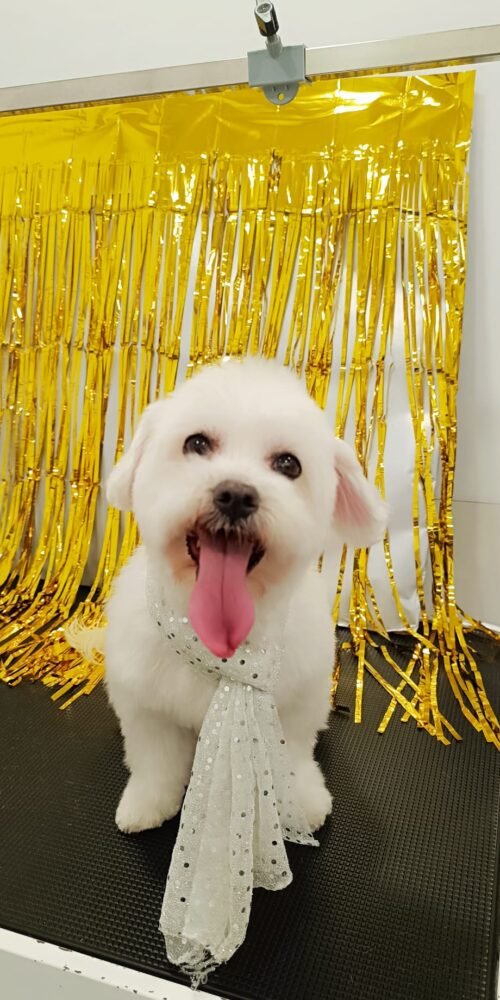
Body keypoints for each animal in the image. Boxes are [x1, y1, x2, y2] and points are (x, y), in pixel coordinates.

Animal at [105, 360, 386, 836]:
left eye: (289, 464)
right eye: (197, 443)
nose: (236, 494)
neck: (218, 645)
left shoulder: (297, 702)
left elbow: (293, 755)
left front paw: (301, 801)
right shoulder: (147, 708)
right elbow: (155, 762)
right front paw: (147, 803)